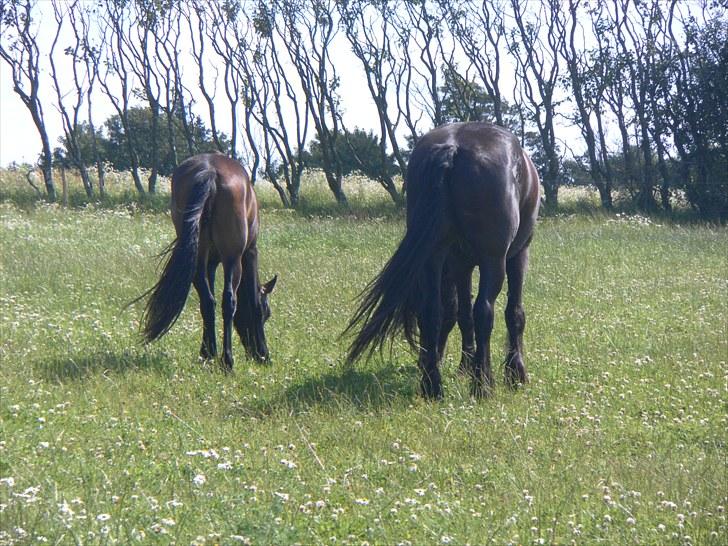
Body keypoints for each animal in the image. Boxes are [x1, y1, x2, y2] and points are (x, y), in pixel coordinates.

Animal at [139, 151, 276, 368]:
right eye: (266, 313)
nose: (258, 355)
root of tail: (210, 172)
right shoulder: (250, 252)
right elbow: (251, 301)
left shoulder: (210, 262)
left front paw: (208, 352)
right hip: (232, 259)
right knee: (228, 300)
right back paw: (227, 360)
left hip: (198, 258)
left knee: (207, 301)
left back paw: (208, 355)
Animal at [346, 121, 540, 398]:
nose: (427, 356)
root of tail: (453, 148)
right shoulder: (518, 254)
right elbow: (513, 313)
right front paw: (515, 374)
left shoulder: (460, 265)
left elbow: (460, 314)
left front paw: (464, 366)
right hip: (494, 260)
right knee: (484, 312)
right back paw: (483, 385)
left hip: (433, 257)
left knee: (433, 311)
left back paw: (432, 385)